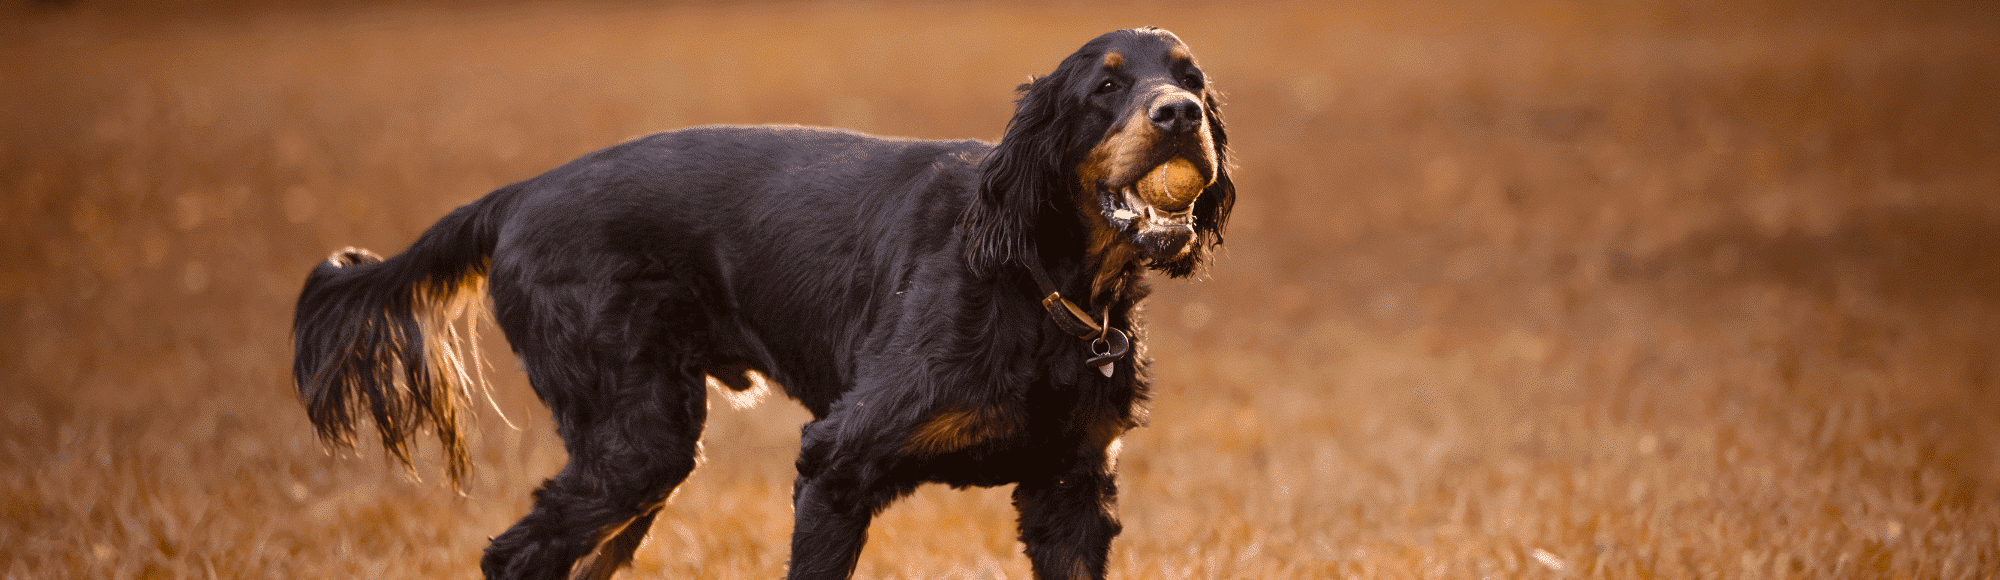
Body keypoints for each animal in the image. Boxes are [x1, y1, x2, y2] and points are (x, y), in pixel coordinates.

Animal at [292, 27, 1232, 580]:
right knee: (516, 557)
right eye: (1106, 88)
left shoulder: (1068, 490)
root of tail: (520, 193)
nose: (1181, 115)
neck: (1042, 284)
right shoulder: (838, 462)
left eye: (1192, 80)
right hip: (636, 438)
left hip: (639, 457)